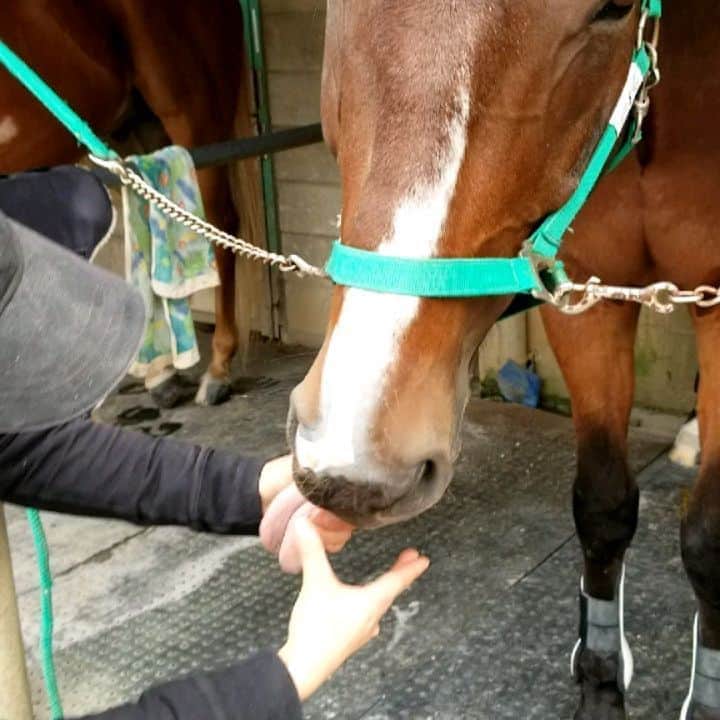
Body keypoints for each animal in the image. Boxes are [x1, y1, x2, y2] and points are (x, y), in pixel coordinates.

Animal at [289, 2, 720, 718]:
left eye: (613, 9)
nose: (360, 449)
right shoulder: (585, 294)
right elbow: (602, 506)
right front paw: (600, 686)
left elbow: (709, 539)